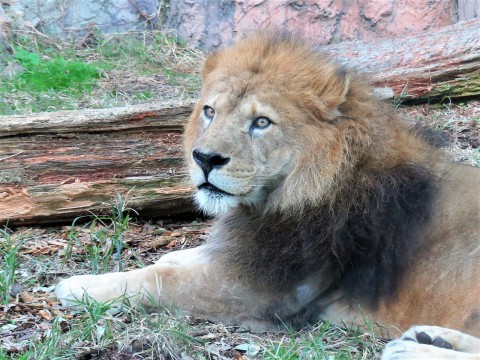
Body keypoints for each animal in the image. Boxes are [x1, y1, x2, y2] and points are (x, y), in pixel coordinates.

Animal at [56, 33, 480, 358]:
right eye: (209, 111)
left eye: (261, 122)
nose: (204, 158)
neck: (271, 200)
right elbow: (181, 259)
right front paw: (176, 255)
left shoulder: (258, 291)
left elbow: (158, 279)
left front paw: (78, 287)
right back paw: (432, 337)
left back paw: (411, 348)